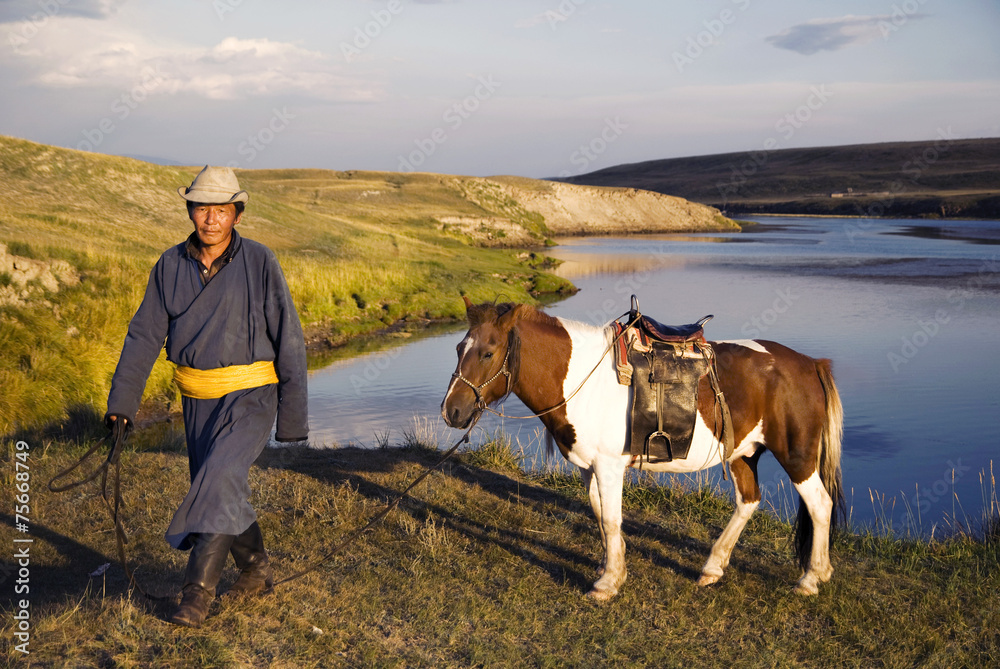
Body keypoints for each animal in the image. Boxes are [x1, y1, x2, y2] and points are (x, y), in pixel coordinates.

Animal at [442, 298, 840, 600]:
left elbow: (611, 518)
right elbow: (599, 513)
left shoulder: (608, 466)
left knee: (821, 506)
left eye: (488, 353)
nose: (452, 411)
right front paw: (611, 568)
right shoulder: (590, 467)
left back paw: (812, 578)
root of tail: (810, 364)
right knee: (749, 501)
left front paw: (607, 584)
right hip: (744, 452)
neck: (584, 378)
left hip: (796, 457)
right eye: (459, 348)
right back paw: (713, 567)